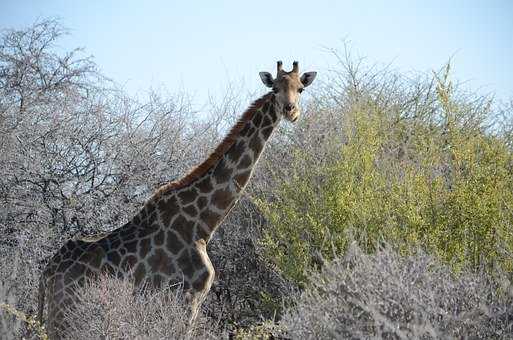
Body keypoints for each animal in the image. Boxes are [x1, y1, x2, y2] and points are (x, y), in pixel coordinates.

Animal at [37, 60, 316, 338]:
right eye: (275, 89)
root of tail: (47, 271)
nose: (291, 111)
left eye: (300, 89)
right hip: (66, 314)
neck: (203, 224)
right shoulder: (187, 297)